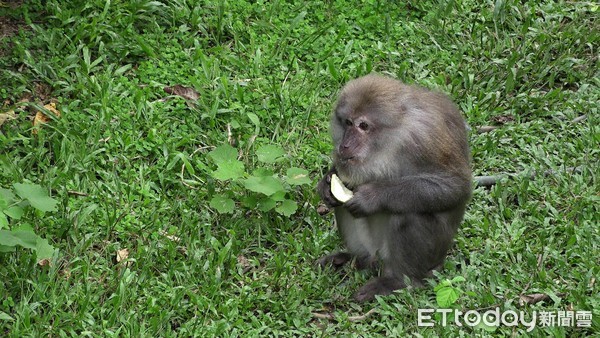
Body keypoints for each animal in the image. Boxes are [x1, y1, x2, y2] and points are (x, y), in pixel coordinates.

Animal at [316, 74, 472, 302]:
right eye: (347, 123)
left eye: (363, 126)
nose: (345, 145)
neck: (392, 139)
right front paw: (326, 183)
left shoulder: (424, 137)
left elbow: (455, 186)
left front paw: (372, 197)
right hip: (372, 248)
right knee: (344, 209)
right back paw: (355, 260)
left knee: (410, 213)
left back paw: (397, 281)